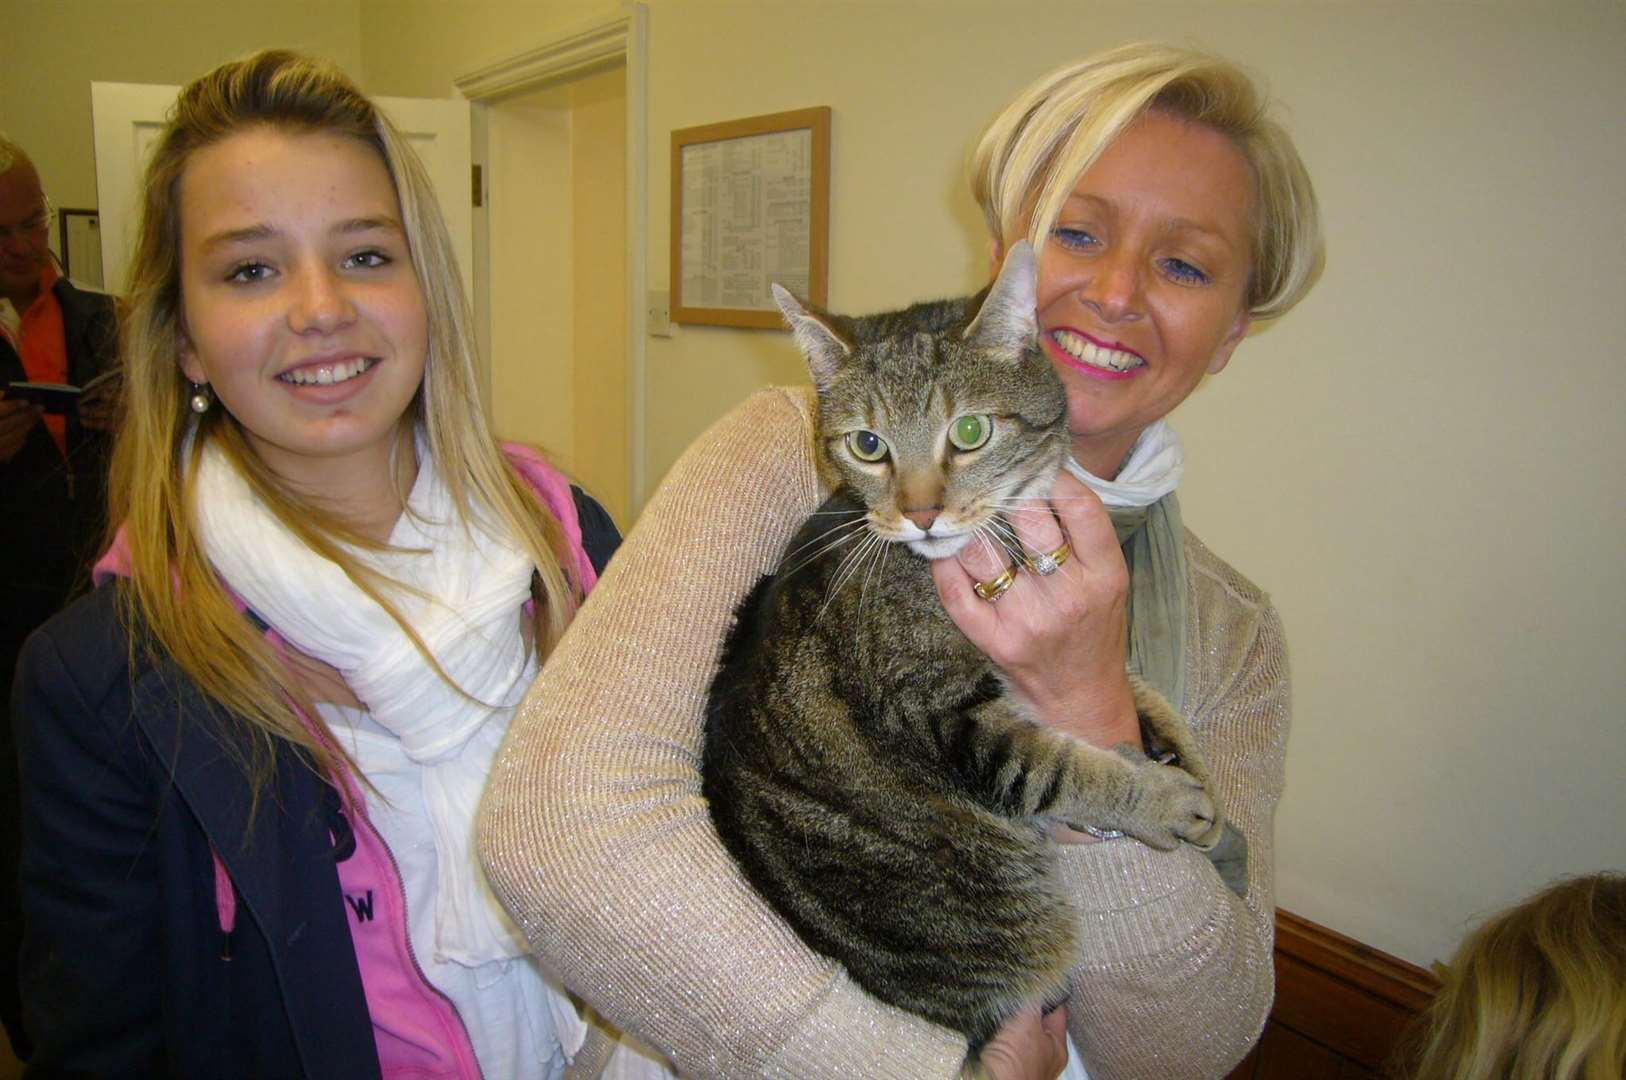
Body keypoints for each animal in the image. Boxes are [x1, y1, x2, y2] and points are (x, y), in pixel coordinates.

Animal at [699, 242, 1222, 1073]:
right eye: (868, 445)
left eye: (970, 432)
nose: (921, 513)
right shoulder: (940, 714)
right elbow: (1060, 769)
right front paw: (1159, 798)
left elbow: (1139, 689)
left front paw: (1183, 752)